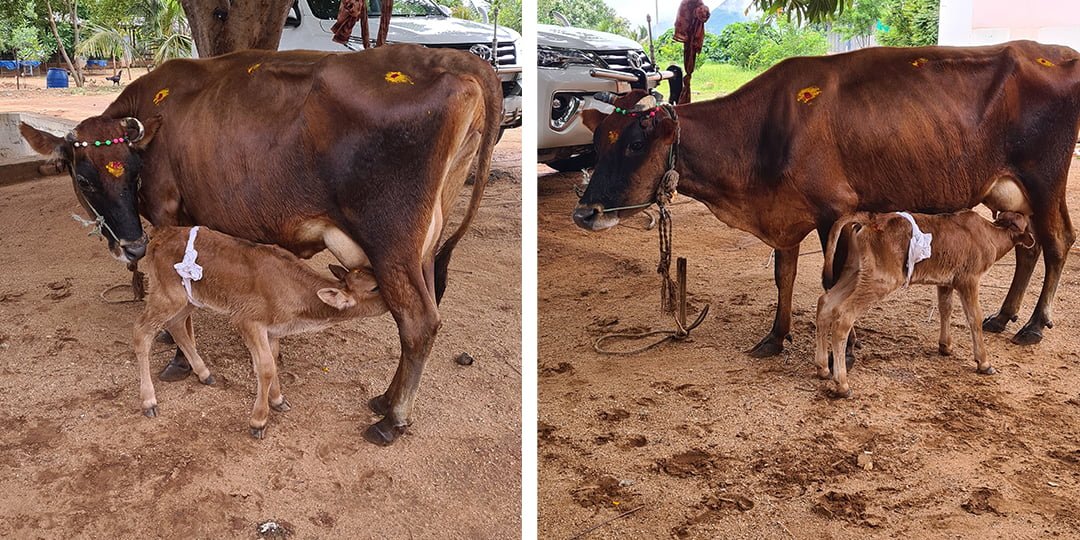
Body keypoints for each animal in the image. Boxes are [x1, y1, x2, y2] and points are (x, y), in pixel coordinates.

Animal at [135, 224, 388, 438]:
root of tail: (159, 235)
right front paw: (259, 421)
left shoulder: (273, 330)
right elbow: (265, 367)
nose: (394, 300)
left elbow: (274, 360)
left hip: (189, 297)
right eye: (376, 288)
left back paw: (204, 373)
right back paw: (149, 401)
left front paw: (278, 400)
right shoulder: (247, 320)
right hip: (167, 293)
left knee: (175, 324)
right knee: (142, 331)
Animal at [578, 42, 1080, 362]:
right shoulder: (785, 215)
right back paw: (1005, 315)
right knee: (1028, 245)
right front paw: (775, 337)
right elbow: (783, 277)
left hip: (1045, 179)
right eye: (599, 144)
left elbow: (834, 279)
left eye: (635, 144)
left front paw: (848, 352)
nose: (585, 212)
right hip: (1008, 191)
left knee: (1056, 243)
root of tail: (1061, 52)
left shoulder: (835, 213)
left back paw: (1034, 324)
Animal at [812, 210, 1032, 397]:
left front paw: (945, 346)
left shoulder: (946, 282)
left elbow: (945, 308)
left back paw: (823, 368)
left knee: (826, 303)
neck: (990, 235)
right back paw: (842, 384)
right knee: (843, 316)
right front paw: (984, 362)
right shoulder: (969, 279)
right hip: (881, 280)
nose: (1033, 240)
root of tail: (871, 218)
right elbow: (974, 318)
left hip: (854, 271)